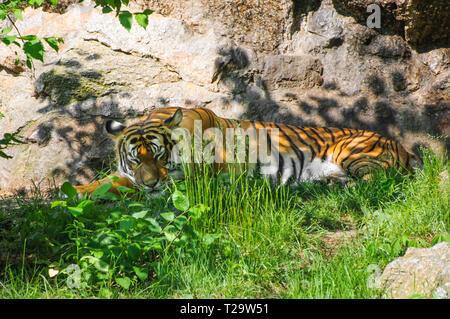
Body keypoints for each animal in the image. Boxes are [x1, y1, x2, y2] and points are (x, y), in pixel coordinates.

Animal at [72, 107, 416, 195]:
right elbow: (104, 183)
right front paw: (72, 192)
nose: (151, 184)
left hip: (353, 151)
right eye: (134, 160)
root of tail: (403, 147)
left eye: (159, 156)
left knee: (381, 181)